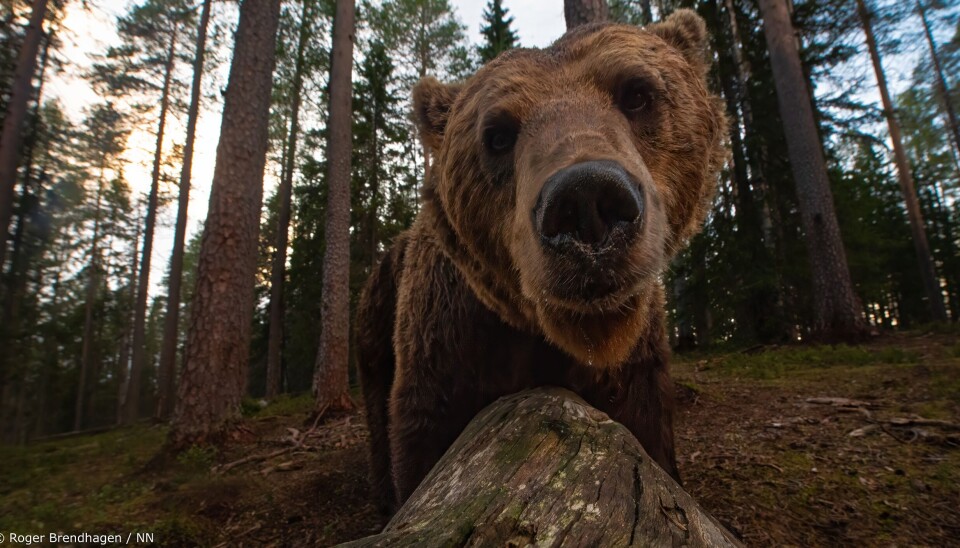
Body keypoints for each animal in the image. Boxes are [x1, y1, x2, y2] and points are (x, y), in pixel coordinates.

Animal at [356, 8, 724, 516]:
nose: (586, 200)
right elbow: (423, 433)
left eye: (637, 93)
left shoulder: (636, 363)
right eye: (497, 135)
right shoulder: (449, 342)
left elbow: (646, 428)